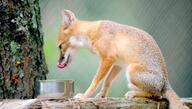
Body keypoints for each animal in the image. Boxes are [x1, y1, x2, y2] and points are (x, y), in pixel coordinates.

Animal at [56, 9, 188, 108]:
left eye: (60, 46)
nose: (58, 63)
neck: (92, 32)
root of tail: (165, 83)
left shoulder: (107, 59)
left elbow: (95, 81)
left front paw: (84, 96)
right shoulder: (117, 63)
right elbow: (107, 81)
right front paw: (102, 95)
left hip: (131, 71)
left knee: (157, 95)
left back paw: (133, 94)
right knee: (158, 95)